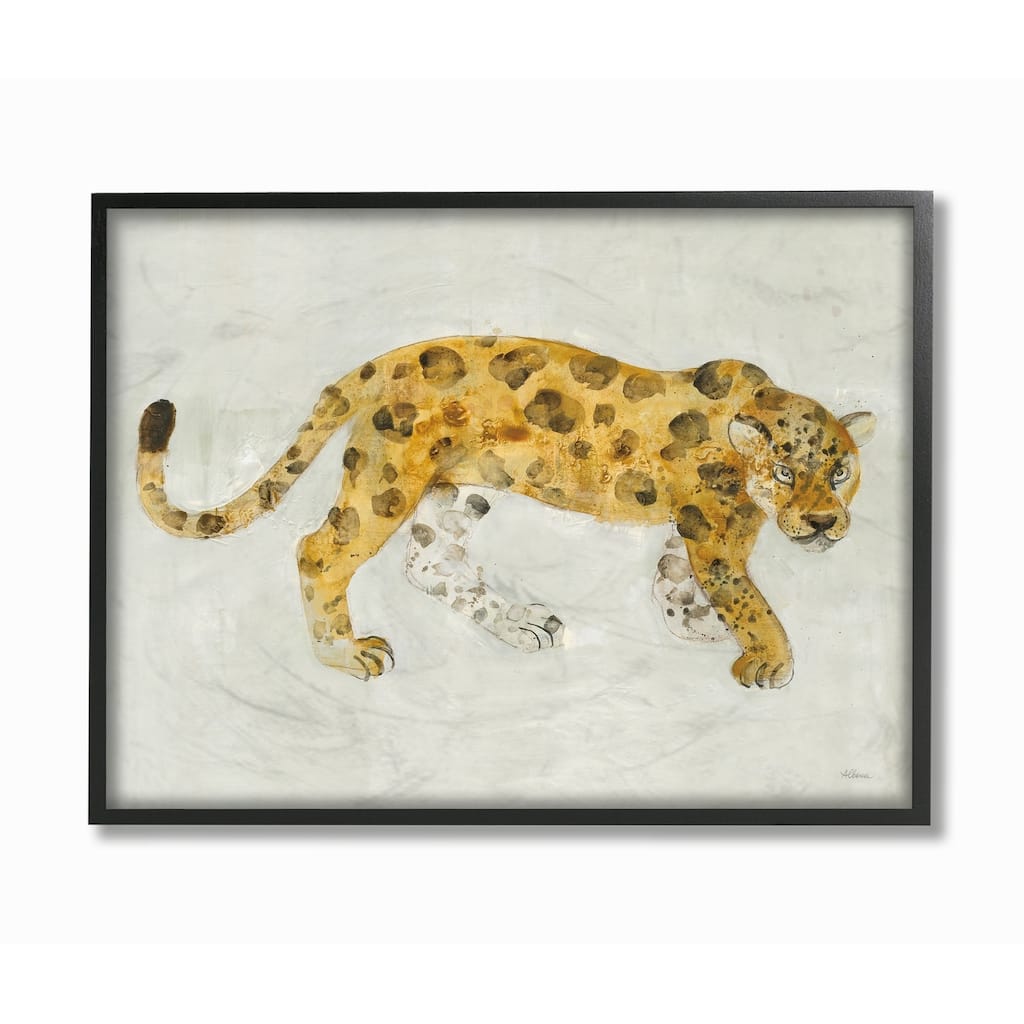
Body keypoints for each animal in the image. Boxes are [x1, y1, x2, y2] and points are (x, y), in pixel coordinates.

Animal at [137, 335, 875, 688]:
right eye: (785, 470)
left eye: (839, 470)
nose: (821, 523)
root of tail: (383, 361)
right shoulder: (716, 535)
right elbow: (748, 599)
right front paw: (769, 658)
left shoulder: (692, 529)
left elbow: (673, 584)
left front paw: (704, 629)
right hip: (385, 482)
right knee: (320, 552)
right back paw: (345, 654)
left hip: (460, 486)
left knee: (428, 561)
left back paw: (523, 626)